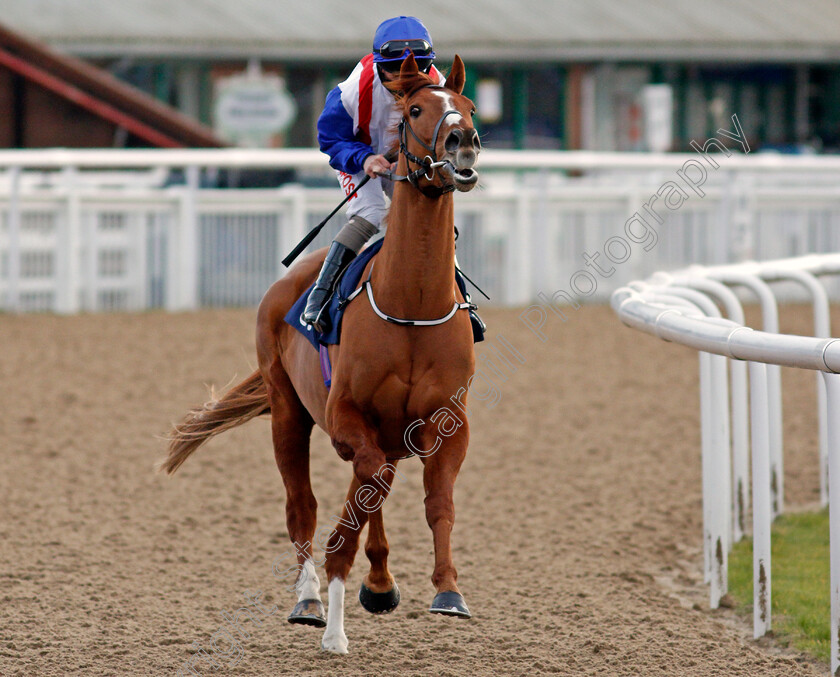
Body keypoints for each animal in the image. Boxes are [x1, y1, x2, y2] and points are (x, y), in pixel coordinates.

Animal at [162, 54, 480, 656]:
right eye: (416, 110)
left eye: (469, 108)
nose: (463, 142)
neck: (409, 305)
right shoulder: (345, 414)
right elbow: (364, 485)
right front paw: (339, 585)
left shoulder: (447, 418)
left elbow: (436, 500)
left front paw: (448, 590)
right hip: (288, 412)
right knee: (302, 505)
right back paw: (311, 598)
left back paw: (376, 580)